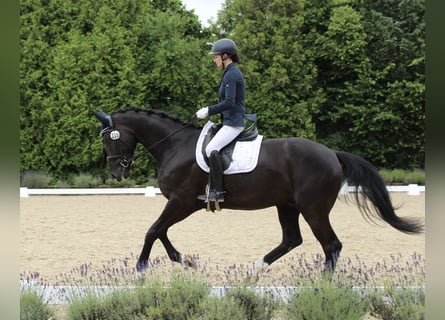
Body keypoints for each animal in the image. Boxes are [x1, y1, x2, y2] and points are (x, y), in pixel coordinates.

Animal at [93, 107, 420, 276]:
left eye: (111, 138)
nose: (117, 173)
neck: (175, 145)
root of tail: (332, 154)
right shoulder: (181, 203)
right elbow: (160, 231)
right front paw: (186, 260)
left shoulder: (182, 201)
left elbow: (153, 230)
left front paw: (140, 269)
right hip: (287, 205)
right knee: (292, 239)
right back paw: (254, 270)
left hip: (314, 209)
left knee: (331, 245)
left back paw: (321, 284)